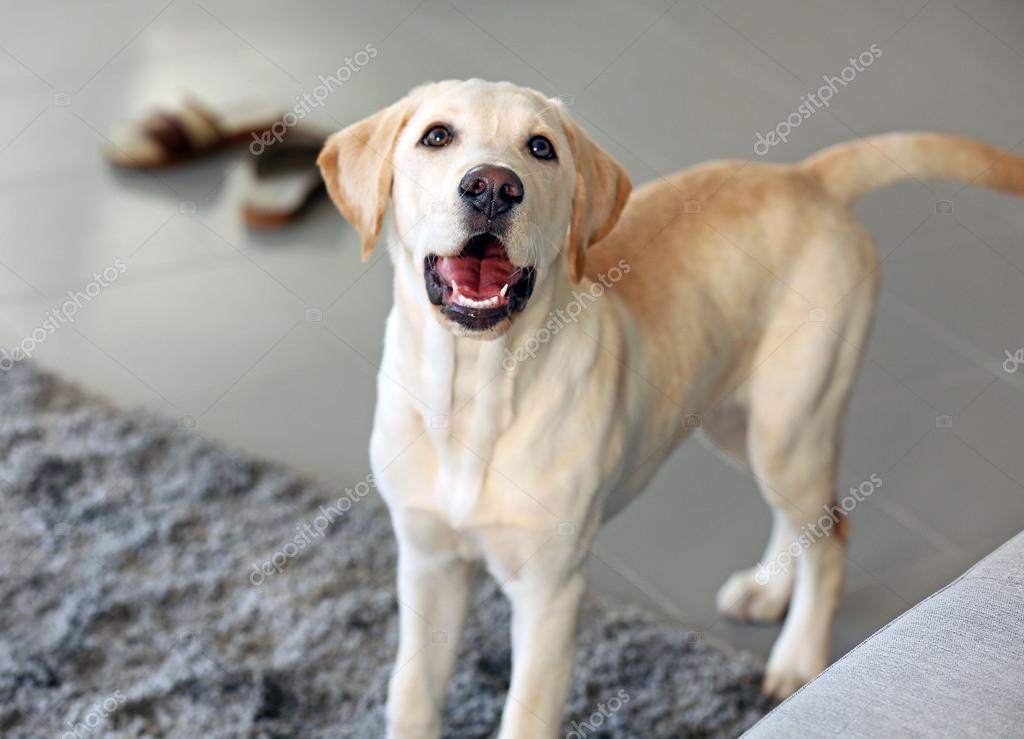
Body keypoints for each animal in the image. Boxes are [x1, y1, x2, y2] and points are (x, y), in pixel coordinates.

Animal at [317, 77, 1024, 732]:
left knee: (831, 531)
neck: (474, 390)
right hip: (738, 422)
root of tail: (806, 177)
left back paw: (797, 657)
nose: (493, 187)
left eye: (541, 148)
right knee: (805, 517)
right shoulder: (427, 564)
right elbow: (411, 695)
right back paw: (767, 590)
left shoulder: (551, 591)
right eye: (436, 136)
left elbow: (527, 713)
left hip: (790, 424)